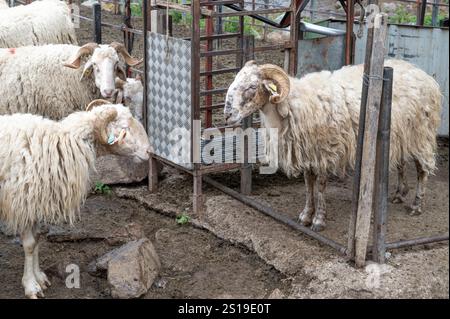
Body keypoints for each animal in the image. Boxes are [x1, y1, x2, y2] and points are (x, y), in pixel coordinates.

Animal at [0, 102, 151, 300]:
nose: (149, 151)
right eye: (125, 128)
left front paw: (39, 277)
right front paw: (31, 286)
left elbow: (37, 239)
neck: (61, 144)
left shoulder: (35, 204)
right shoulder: (23, 203)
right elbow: (30, 245)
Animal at [223, 58, 442, 231]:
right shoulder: (308, 153)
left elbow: (320, 186)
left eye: (252, 87)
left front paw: (318, 220)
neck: (293, 105)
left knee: (422, 169)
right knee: (401, 162)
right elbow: (308, 184)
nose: (227, 114)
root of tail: (425, 75)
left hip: (422, 134)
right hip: (401, 135)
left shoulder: (324, 152)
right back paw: (399, 193)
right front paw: (305, 215)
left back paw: (416, 205)